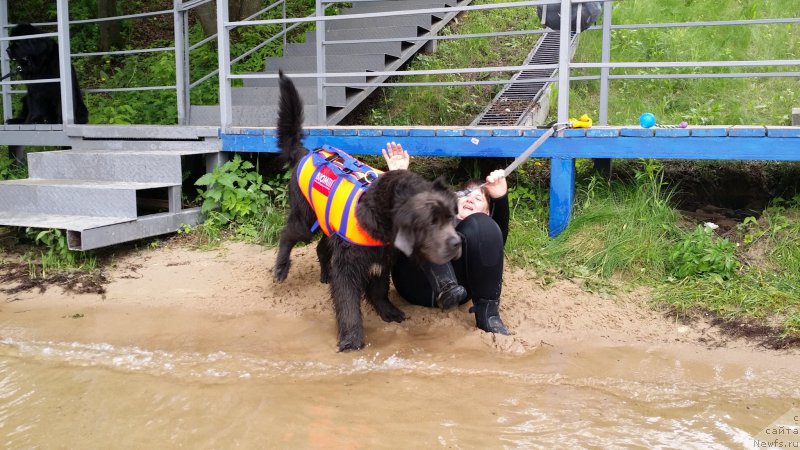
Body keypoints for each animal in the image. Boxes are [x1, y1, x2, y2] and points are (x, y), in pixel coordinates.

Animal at [276, 71, 462, 352]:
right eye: (431, 222)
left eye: (451, 218)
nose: (457, 242)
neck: (381, 220)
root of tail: (304, 153)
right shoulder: (349, 263)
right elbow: (348, 303)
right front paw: (351, 339)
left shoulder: (381, 257)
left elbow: (378, 289)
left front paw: (387, 311)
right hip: (306, 218)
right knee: (288, 233)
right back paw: (281, 268)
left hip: (328, 225)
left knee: (321, 248)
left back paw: (324, 274)